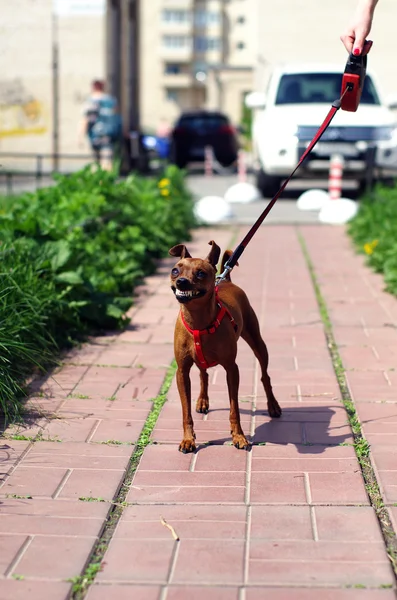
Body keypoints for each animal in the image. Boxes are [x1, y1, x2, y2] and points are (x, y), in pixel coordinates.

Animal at [169, 241, 280, 452]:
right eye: (175, 270)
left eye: (201, 273)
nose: (181, 282)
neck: (198, 321)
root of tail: (225, 279)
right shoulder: (182, 372)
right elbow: (186, 412)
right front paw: (188, 439)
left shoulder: (231, 369)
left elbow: (234, 408)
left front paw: (239, 437)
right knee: (203, 375)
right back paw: (202, 401)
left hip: (257, 343)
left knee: (265, 376)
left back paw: (273, 406)